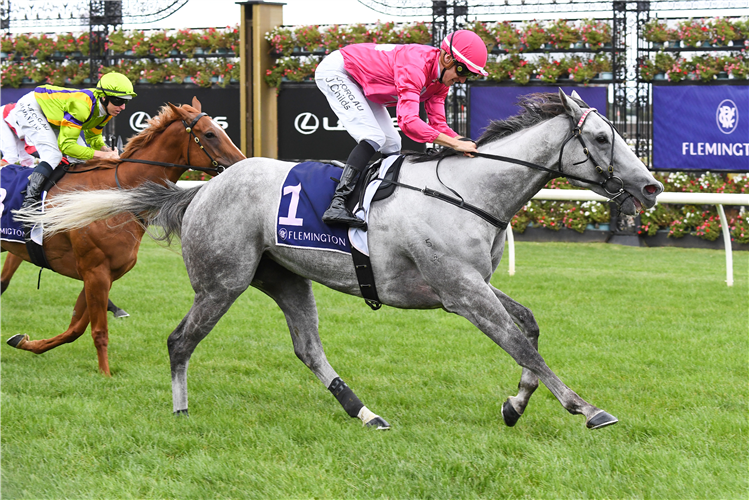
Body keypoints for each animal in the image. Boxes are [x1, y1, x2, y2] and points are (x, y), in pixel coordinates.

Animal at [1, 97, 244, 376]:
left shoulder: (105, 274)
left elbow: (76, 328)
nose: (242, 163)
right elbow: (98, 330)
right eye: (210, 134)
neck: (114, 197)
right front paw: (106, 375)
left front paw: (26, 342)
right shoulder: (95, 270)